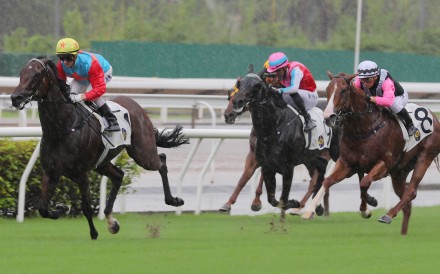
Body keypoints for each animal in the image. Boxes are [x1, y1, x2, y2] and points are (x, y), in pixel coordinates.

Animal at [10, 56, 188, 239]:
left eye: (37, 75)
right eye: (21, 73)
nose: (15, 98)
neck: (61, 130)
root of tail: (136, 105)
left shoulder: (81, 174)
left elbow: (86, 207)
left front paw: (94, 233)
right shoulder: (51, 173)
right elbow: (42, 209)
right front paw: (61, 209)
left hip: (143, 153)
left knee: (161, 161)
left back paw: (173, 200)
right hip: (101, 163)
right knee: (119, 175)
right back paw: (112, 222)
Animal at [232, 67, 332, 214]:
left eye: (257, 86)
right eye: (240, 83)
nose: (237, 102)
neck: (275, 127)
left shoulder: (288, 167)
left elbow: (283, 198)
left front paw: (293, 203)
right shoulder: (266, 165)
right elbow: (272, 199)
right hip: (313, 158)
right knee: (319, 176)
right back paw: (317, 207)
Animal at [302, 71, 440, 234]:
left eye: (343, 91)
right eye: (328, 90)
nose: (328, 116)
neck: (364, 128)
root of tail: (434, 116)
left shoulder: (384, 164)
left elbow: (364, 182)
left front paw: (368, 205)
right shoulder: (348, 163)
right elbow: (328, 181)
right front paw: (309, 210)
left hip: (425, 157)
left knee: (411, 191)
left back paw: (388, 215)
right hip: (399, 172)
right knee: (407, 203)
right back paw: (403, 233)